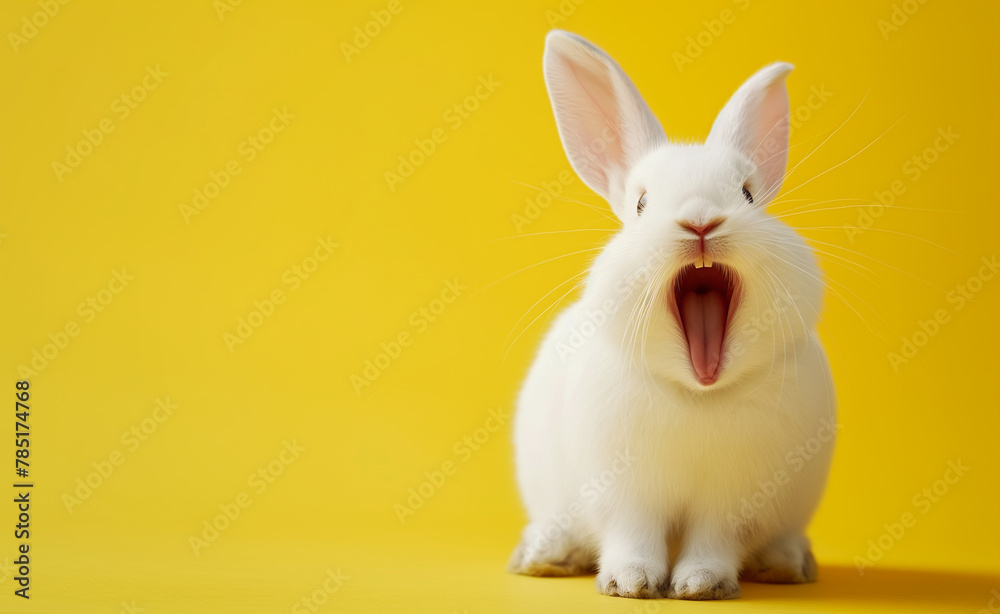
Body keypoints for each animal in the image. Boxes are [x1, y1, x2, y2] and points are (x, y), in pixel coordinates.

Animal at [508, 30, 837, 600]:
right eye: (641, 203)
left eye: (748, 193)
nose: (701, 220)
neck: (697, 393)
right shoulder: (624, 494)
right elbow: (633, 537)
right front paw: (630, 583)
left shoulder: (732, 503)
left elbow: (713, 542)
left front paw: (701, 585)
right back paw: (544, 555)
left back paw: (786, 563)